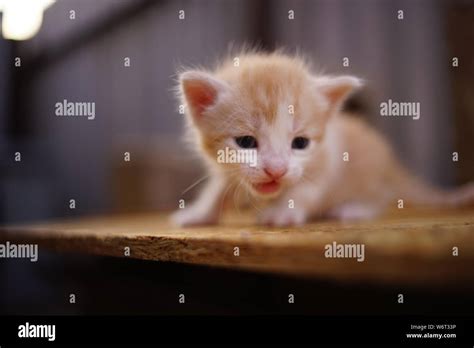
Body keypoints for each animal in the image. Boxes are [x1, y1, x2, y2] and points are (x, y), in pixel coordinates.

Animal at [172, 51, 474, 226]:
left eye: (300, 143)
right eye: (245, 142)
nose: (276, 170)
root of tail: (391, 164)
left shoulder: (328, 160)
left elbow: (306, 189)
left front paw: (282, 212)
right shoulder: (226, 169)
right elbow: (217, 188)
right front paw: (199, 214)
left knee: (381, 197)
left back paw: (355, 209)